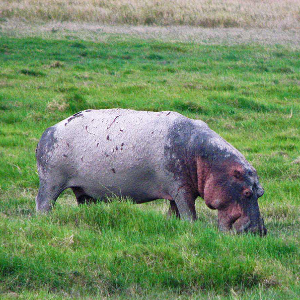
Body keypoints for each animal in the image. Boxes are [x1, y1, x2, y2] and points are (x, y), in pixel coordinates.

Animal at [35, 109, 268, 236]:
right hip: (51, 182)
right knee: (44, 203)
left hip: (83, 190)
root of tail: (48, 131)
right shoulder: (181, 189)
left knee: (84, 204)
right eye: (247, 193)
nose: (260, 232)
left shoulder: (175, 193)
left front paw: (172, 225)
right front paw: (191, 228)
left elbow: (174, 213)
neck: (206, 160)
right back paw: (44, 221)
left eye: (261, 192)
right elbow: (189, 214)